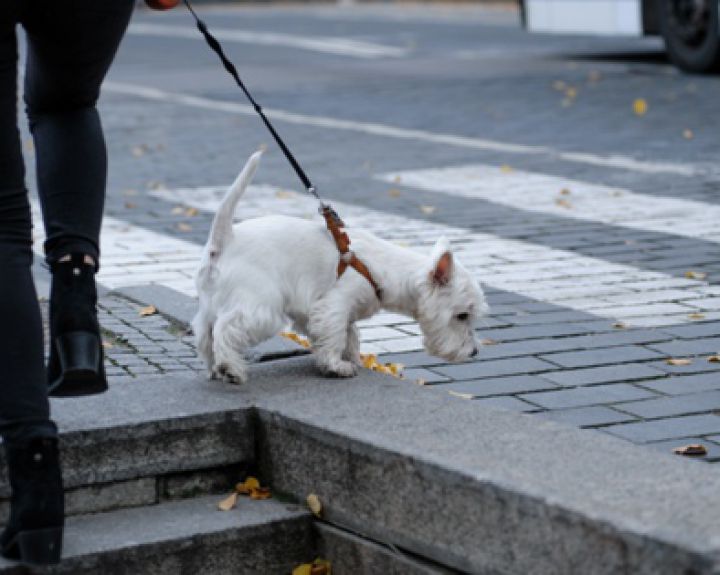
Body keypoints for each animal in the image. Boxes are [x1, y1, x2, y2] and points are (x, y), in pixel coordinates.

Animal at [191, 153, 486, 384]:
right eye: (462, 316)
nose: (474, 352)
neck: (383, 270)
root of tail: (223, 242)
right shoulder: (333, 304)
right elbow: (334, 335)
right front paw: (337, 366)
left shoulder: (324, 311)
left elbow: (350, 334)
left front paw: (353, 358)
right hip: (260, 307)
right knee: (225, 329)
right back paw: (231, 369)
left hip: (212, 304)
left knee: (205, 334)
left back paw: (215, 369)